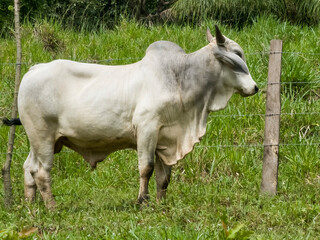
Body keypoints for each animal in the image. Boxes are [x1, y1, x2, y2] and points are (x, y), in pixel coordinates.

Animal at [2, 25, 258, 208]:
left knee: (29, 168)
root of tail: (33, 70)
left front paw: (160, 204)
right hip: (42, 136)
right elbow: (146, 168)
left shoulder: (164, 138)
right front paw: (142, 201)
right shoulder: (147, 129)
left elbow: (164, 177)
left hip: (41, 140)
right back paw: (52, 207)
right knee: (42, 172)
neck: (179, 77)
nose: (255, 88)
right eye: (237, 55)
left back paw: (31, 207)